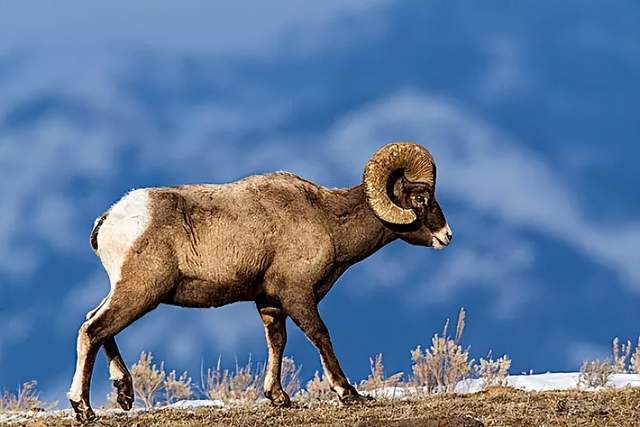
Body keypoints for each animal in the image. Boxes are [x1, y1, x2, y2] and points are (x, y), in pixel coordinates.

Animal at [69, 141, 450, 422]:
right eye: (420, 198)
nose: (446, 235)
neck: (328, 220)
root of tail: (110, 220)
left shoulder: (269, 303)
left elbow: (277, 342)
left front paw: (278, 397)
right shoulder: (297, 295)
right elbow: (320, 335)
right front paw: (349, 394)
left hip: (129, 292)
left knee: (95, 323)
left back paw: (124, 395)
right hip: (140, 292)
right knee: (93, 329)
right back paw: (84, 409)